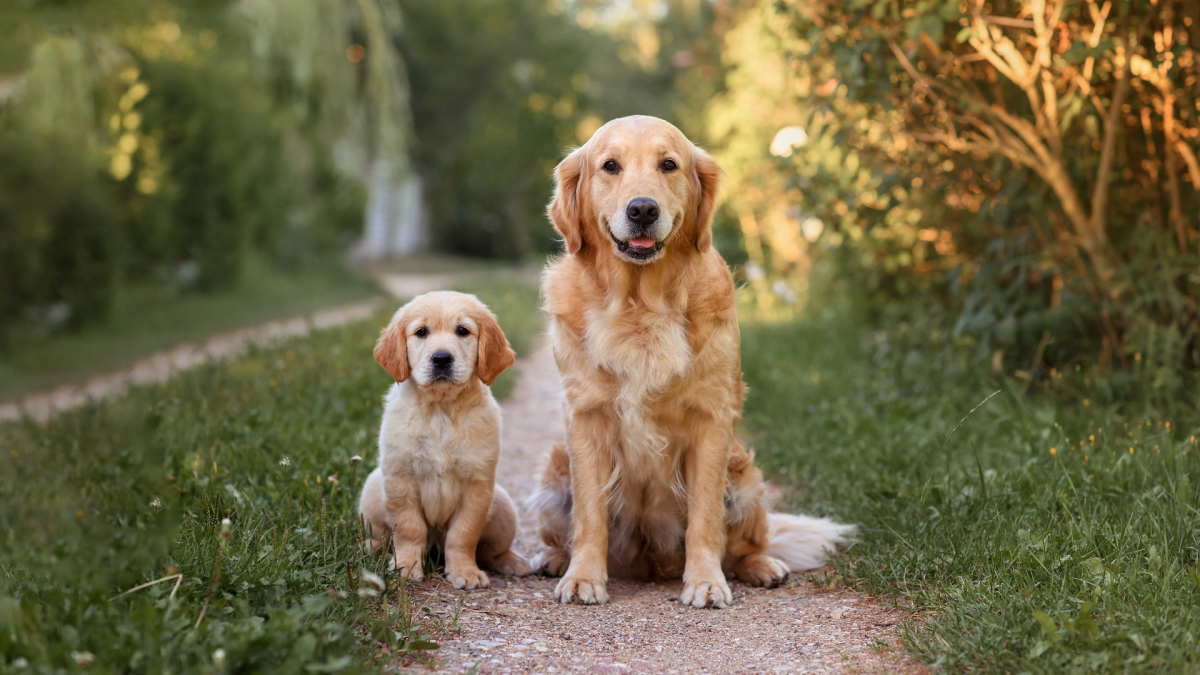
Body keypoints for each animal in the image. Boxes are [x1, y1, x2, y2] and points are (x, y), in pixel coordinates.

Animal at [352, 291, 528, 586]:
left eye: (463, 331)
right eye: (421, 332)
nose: (442, 359)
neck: (441, 410)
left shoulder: (477, 484)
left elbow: (464, 534)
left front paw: (465, 572)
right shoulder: (400, 478)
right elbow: (409, 530)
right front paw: (406, 567)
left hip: (502, 503)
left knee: (491, 550)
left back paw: (513, 561)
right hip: (373, 487)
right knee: (384, 537)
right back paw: (370, 547)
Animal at [528, 114, 854, 605]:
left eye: (668, 164)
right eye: (610, 166)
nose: (643, 209)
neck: (640, 305)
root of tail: (649, 566)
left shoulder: (711, 421)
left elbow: (705, 518)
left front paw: (705, 582)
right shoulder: (584, 418)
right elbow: (590, 515)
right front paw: (583, 577)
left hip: (744, 477)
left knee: (747, 543)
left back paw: (762, 566)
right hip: (554, 472)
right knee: (561, 530)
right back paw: (552, 560)